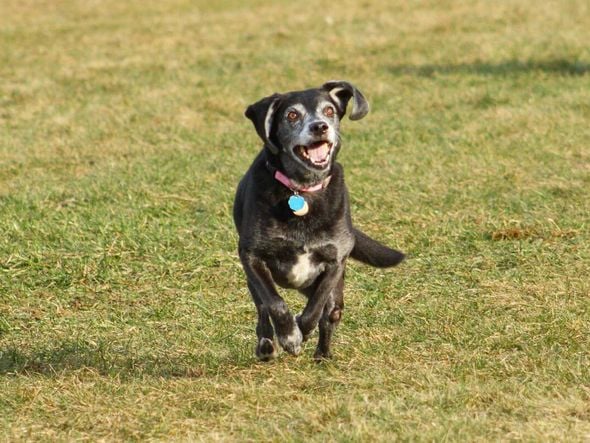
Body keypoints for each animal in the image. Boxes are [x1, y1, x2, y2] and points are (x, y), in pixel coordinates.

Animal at [234, 82, 404, 360]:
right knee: (263, 310)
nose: (319, 126)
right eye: (292, 115)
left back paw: (322, 355)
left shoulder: (335, 261)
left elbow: (315, 309)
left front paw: (301, 332)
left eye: (329, 111)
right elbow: (274, 303)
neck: (302, 190)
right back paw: (267, 345)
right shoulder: (252, 257)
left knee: (330, 313)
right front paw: (289, 336)